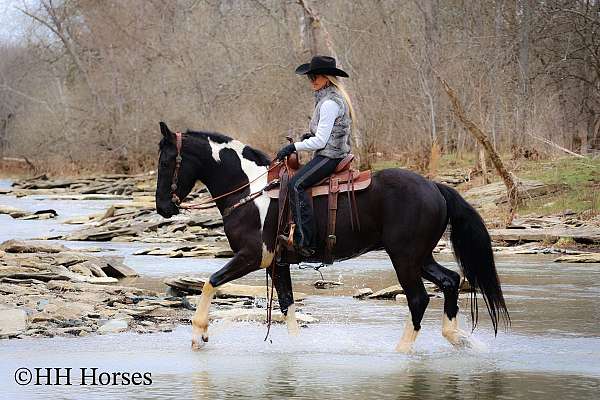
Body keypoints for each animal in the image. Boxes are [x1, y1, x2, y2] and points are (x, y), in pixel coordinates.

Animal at [157, 122, 508, 354]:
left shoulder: (253, 256)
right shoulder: (276, 263)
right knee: (450, 281)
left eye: (167, 161)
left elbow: (210, 282)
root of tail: (434, 186)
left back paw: (401, 352)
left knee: (419, 299)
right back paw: (456, 337)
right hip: (420, 256)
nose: (163, 207)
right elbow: (287, 306)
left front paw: (198, 334)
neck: (251, 190)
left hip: (404, 258)